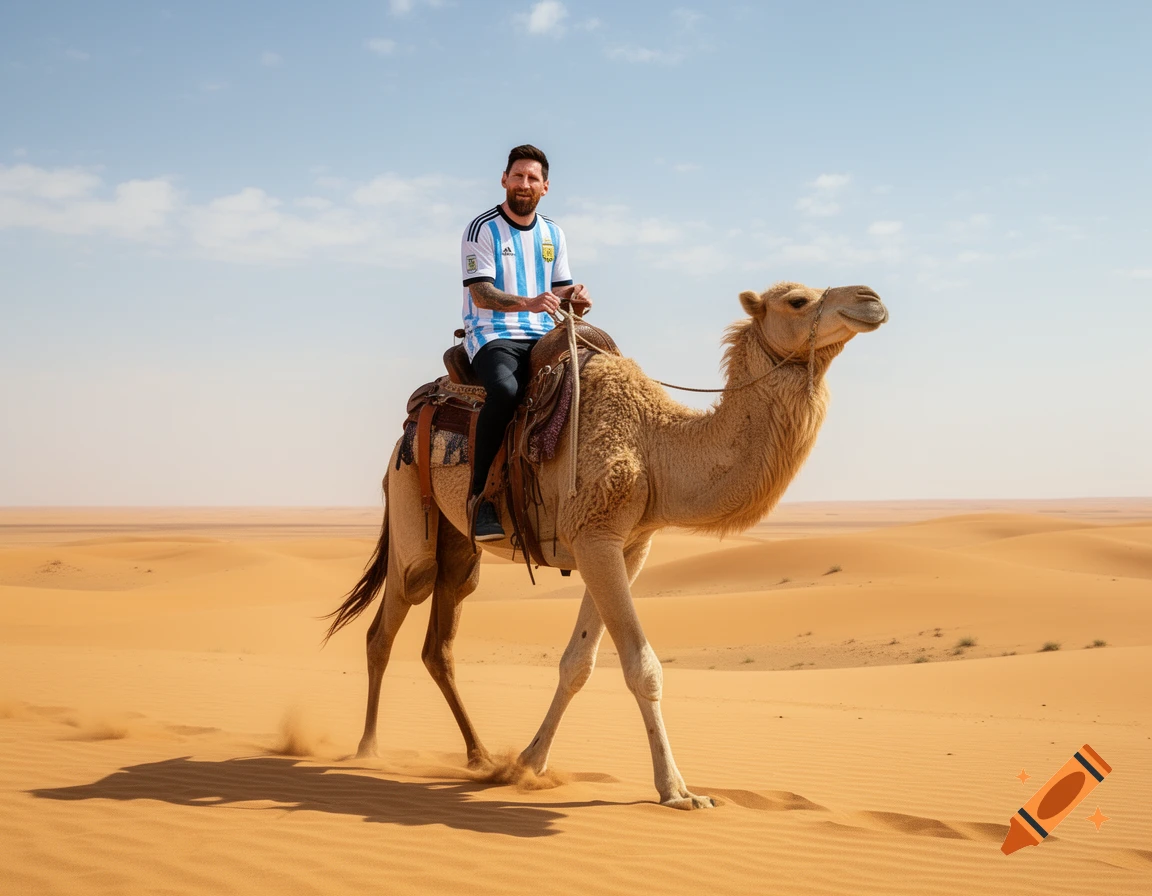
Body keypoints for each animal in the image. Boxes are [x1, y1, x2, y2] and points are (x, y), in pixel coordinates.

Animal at [326, 281, 888, 809]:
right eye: (797, 300)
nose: (872, 299)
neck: (655, 445)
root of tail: (414, 414)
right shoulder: (595, 536)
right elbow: (642, 667)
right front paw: (678, 791)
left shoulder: (628, 545)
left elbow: (577, 662)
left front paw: (528, 764)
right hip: (409, 501)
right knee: (393, 613)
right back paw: (369, 749)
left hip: (459, 545)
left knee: (440, 637)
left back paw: (480, 756)